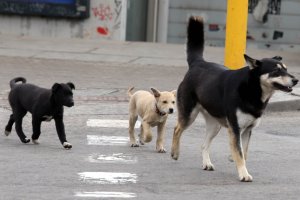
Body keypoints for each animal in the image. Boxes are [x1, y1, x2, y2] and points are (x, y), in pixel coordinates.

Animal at [170, 16, 298, 181]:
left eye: (286, 69)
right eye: (276, 71)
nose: (296, 80)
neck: (252, 90)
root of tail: (198, 63)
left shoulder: (247, 130)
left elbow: (244, 152)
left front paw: (236, 161)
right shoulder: (235, 129)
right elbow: (239, 152)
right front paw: (244, 174)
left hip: (215, 125)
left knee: (204, 145)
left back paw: (207, 163)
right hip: (189, 114)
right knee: (177, 129)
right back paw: (175, 152)